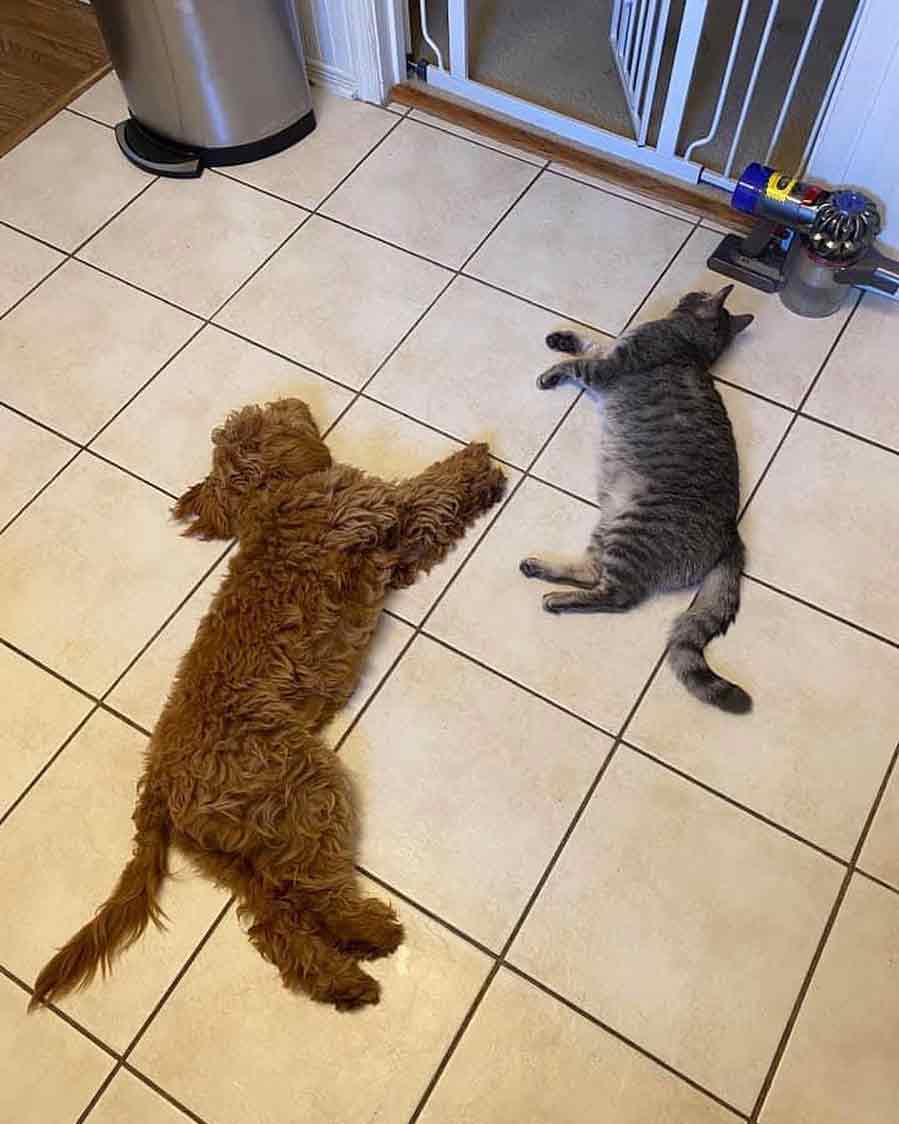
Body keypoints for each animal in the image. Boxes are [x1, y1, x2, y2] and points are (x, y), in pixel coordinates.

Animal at [31, 400, 505, 1016]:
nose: (294, 402)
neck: (272, 498)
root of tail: (159, 782)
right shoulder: (375, 511)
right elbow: (427, 491)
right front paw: (475, 464)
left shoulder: (396, 548)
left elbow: (430, 515)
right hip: (304, 787)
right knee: (309, 891)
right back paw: (367, 931)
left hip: (237, 852)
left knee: (273, 923)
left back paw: (340, 981)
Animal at [523, 287, 755, 710]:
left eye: (696, 295)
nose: (690, 290)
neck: (692, 344)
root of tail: (732, 532)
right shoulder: (613, 351)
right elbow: (593, 343)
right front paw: (563, 339)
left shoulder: (607, 370)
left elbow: (582, 362)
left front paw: (553, 370)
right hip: (610, 520)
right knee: (592, 571)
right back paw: (543, 570)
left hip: (633, 532)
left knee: (617, 596)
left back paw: (558, 599)